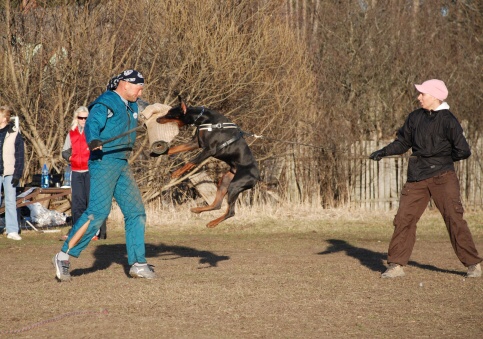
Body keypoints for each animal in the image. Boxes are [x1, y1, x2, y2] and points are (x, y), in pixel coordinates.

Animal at [157, 97, 260, 227]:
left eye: (170, 114)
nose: (157, 119)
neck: (205, 119)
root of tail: (257, 177)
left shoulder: (209, 149)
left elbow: (192, 161)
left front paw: (176, 173)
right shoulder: (195, 142)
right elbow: (175, 148)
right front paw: (158, 152)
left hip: (235, 185)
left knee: (230, 212)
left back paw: (212, 223)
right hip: (225, 181)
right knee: (217, 205)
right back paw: (197, 210)